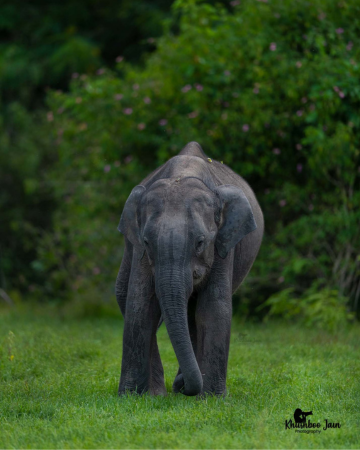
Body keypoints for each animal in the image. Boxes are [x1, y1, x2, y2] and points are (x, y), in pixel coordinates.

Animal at [116, 142, 264, 398]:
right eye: (146, 242)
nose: (182, 386)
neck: (182, 175)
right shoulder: (140, 252)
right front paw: (130, 397)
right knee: (123, 295)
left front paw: (212, 398)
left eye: (200, 242)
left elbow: (213, 308)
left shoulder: (223, 244)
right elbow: (140, 304)